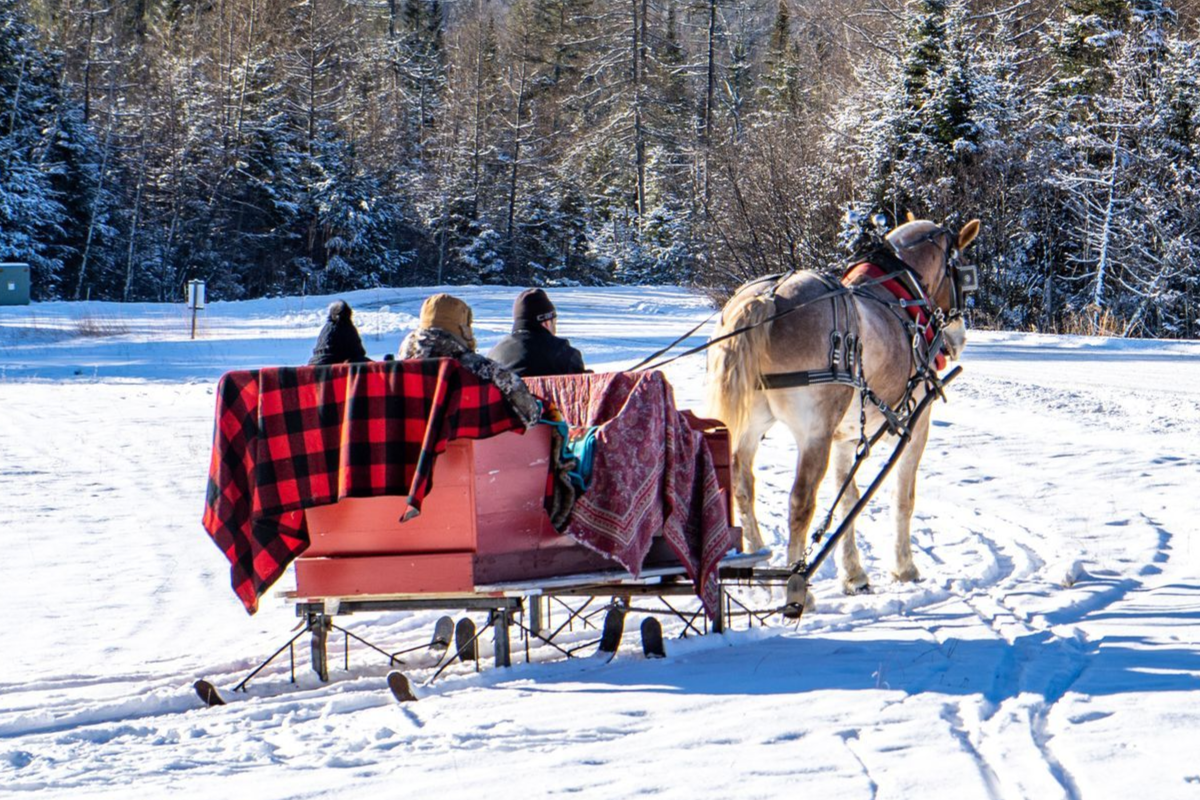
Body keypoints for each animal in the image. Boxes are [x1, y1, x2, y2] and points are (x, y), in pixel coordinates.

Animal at [705, 218, 981, 614]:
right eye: (960, 273)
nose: (957, 340)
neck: (903, 297)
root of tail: (765, 299)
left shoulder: (846, 436)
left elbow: (847, 496)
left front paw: (854, 575)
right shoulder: (917, 421)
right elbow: (903, 497)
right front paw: (904, 568)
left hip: (751, 424)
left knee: (743, 489)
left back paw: (759, 580)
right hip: (813, 433)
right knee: (800, 502)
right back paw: (797, 589)